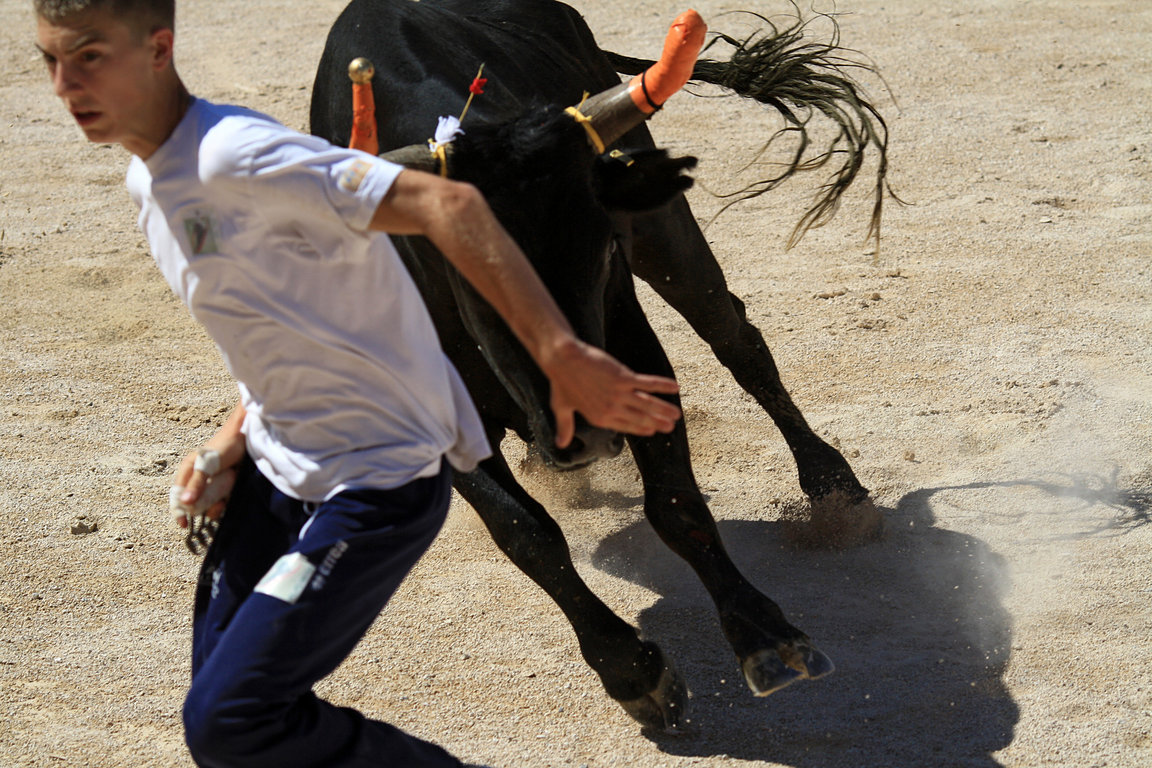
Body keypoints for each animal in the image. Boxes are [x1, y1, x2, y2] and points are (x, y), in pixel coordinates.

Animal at [311, 0, 884, 732]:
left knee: (737, 340)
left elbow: (675, 501)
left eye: (605, 247)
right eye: (473, 268)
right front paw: (628, 669)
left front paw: (764, 635)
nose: (584, 428)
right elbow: (525, 531)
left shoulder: (632, 348)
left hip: (668, 235)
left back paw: (832, 486)